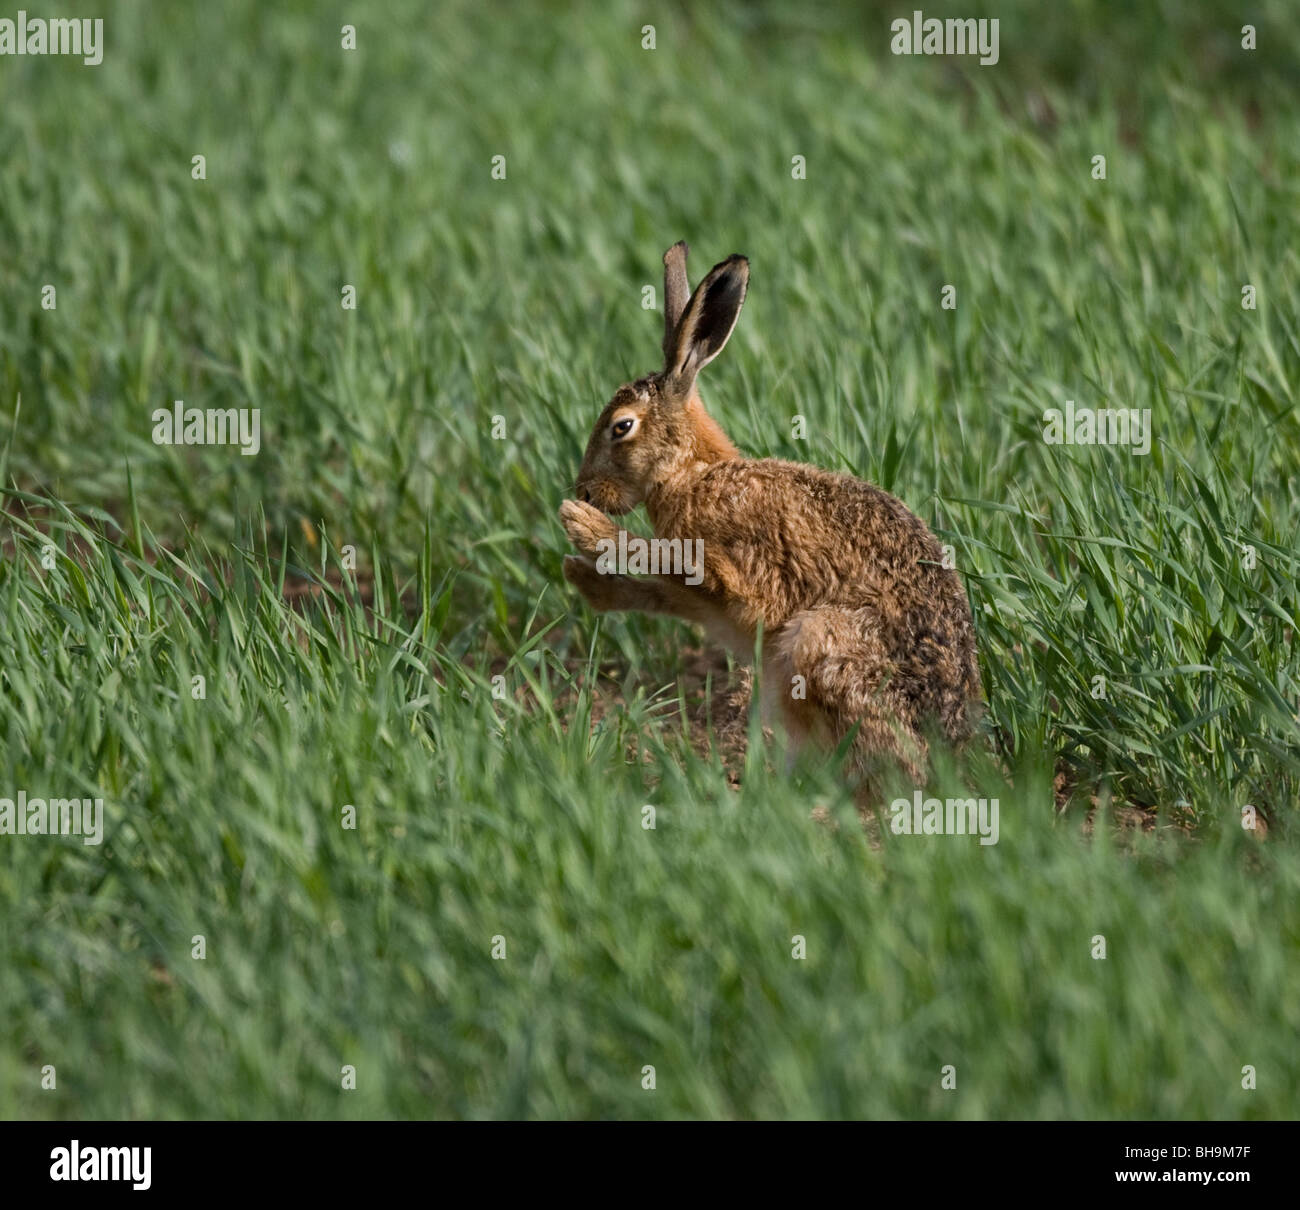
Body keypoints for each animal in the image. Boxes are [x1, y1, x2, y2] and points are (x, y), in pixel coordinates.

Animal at [559, 241, 981, 791]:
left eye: (621, 427)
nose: (584, 491)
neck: (692, 472)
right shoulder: (704, 605)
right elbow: (661, 593)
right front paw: (584, 577)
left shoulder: (738, 573)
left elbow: (671, 557)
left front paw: (584, 527)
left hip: (818, 641)